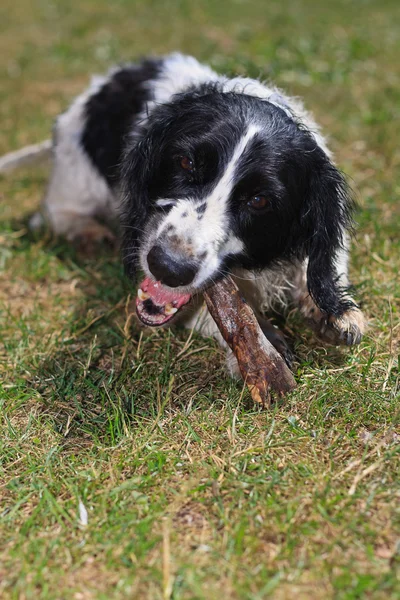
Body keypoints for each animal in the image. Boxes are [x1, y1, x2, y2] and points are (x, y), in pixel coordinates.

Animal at [2, 54, 366, 376]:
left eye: (259, 201)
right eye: (186, 162)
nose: (169, 268)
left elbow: (325, 263)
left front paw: (338, 311)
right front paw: (262, 344)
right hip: (78, 176)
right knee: (51, 214)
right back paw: (87, 233)